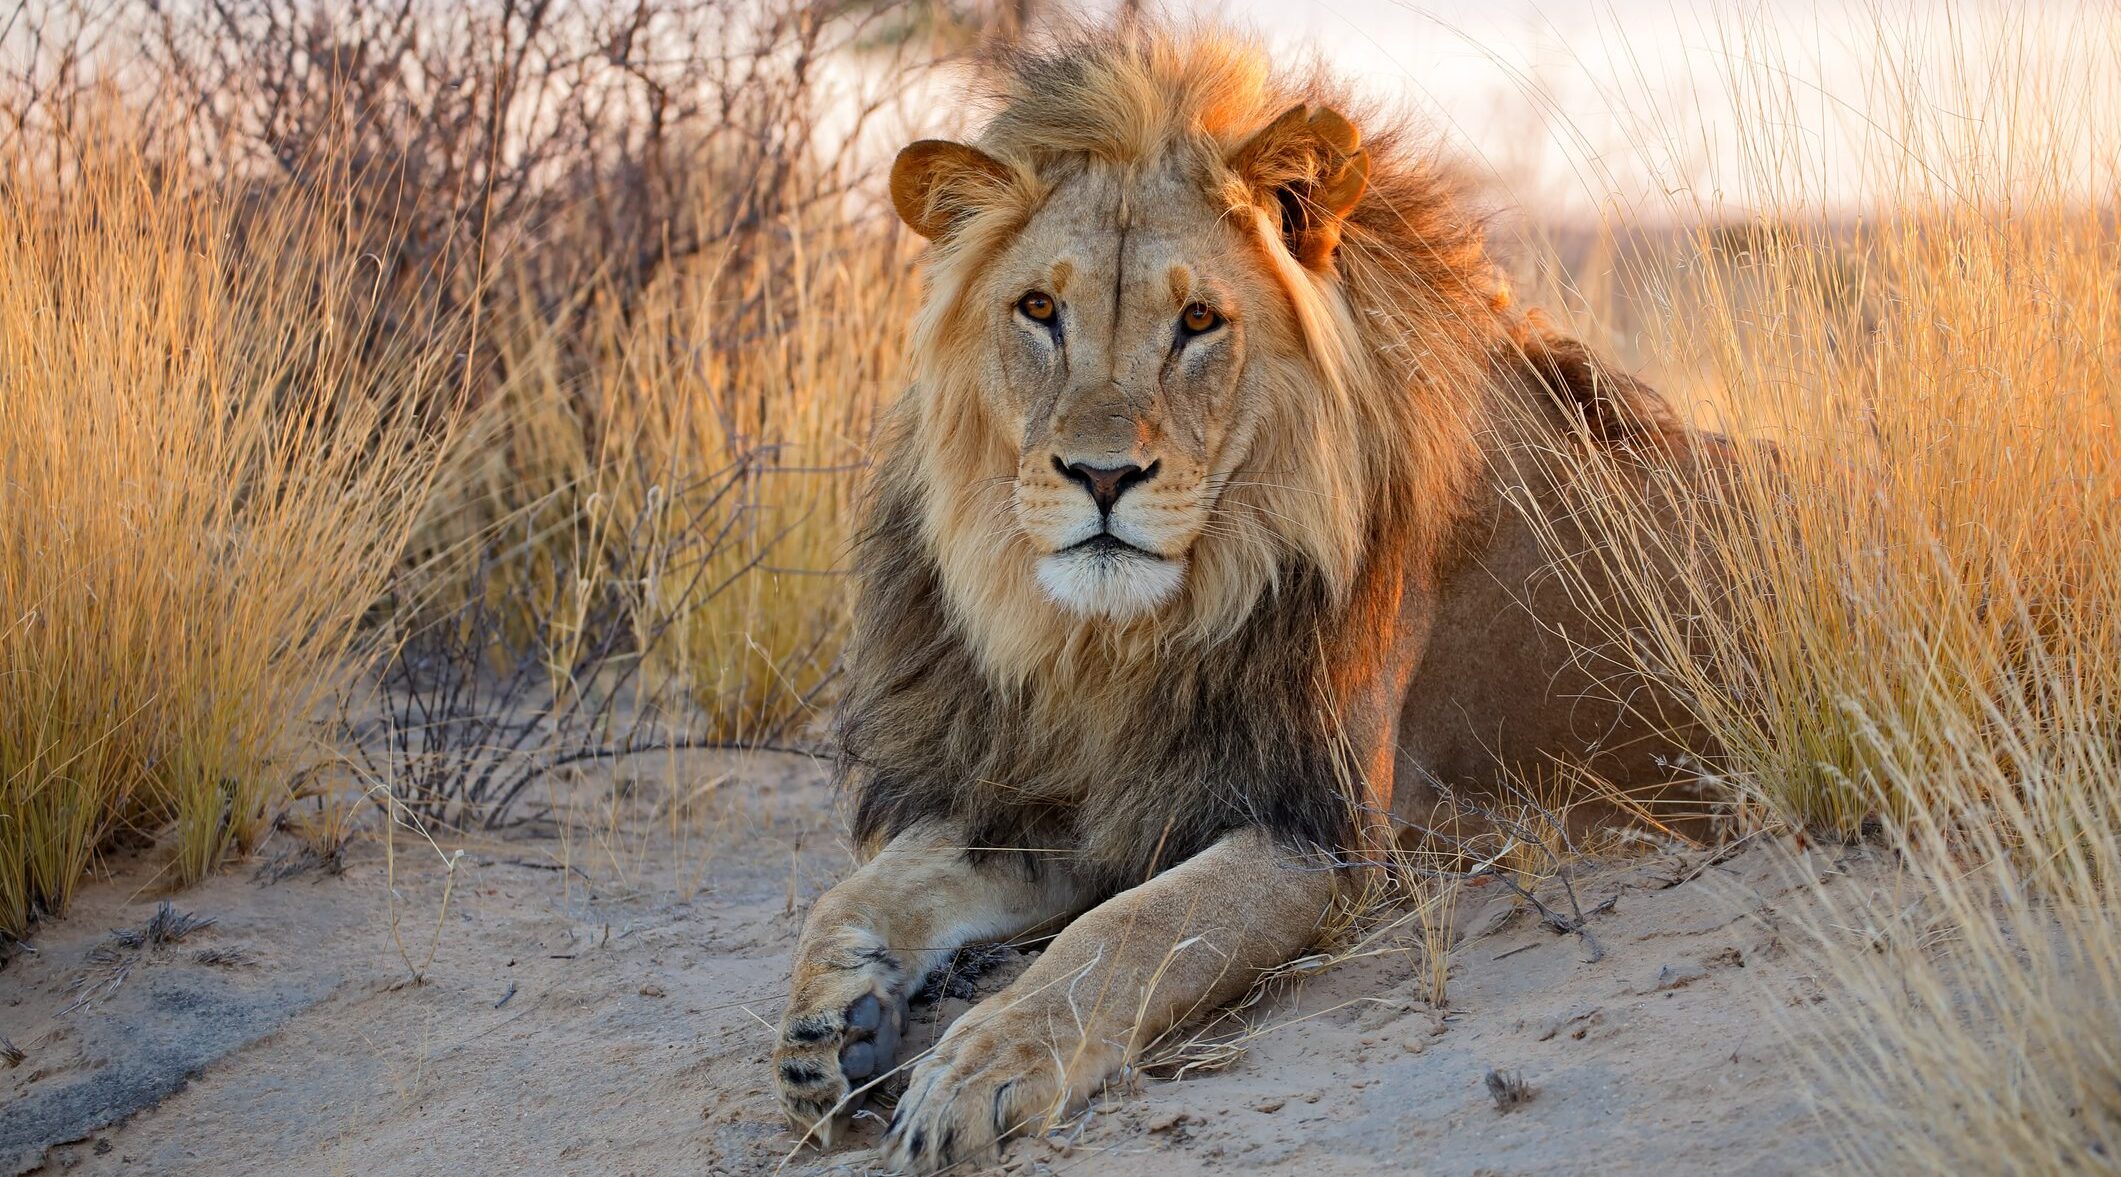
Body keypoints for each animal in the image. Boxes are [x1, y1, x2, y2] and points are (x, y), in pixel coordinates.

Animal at [776, 25, 1722, 1170]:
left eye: (1198, 321)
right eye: (1039, 311)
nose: (1100, 476)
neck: (1120, 643)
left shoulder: (1319, 831)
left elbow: (1125, 933)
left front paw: (980, 1065)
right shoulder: (1080, 794)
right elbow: (866, 887)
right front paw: (829, 1023)